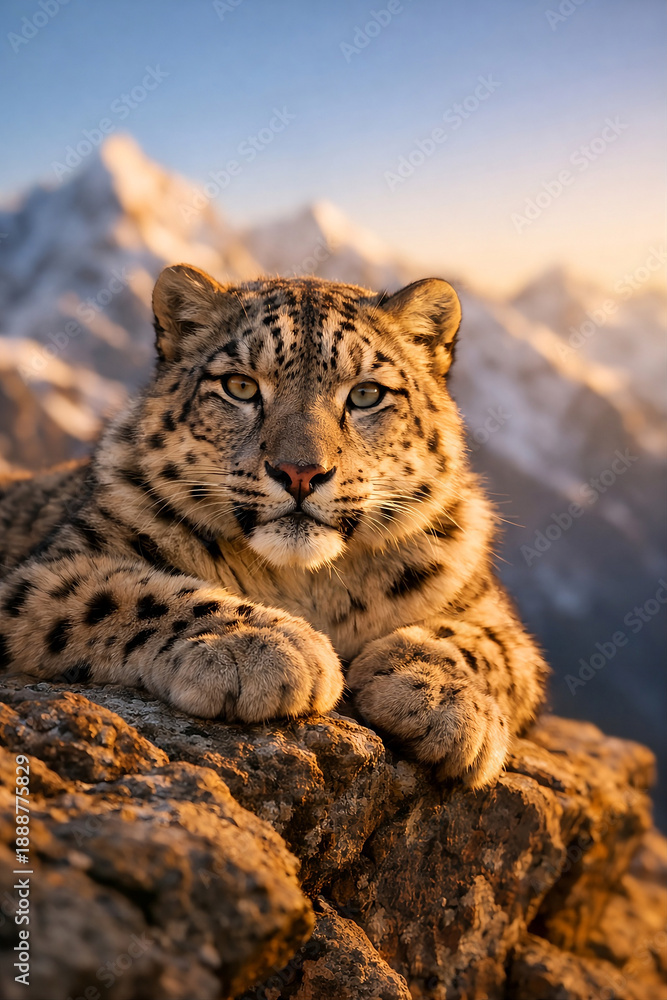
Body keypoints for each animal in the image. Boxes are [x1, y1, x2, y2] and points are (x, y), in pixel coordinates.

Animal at [0, 264, 548, 788]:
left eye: (367, 394)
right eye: (240, 386)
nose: (300, 472)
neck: (307, 584)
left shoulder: (491, 611)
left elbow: (481, 643)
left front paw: (442, 698)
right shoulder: (51, 569)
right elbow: (131, 592)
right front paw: (263, 647)